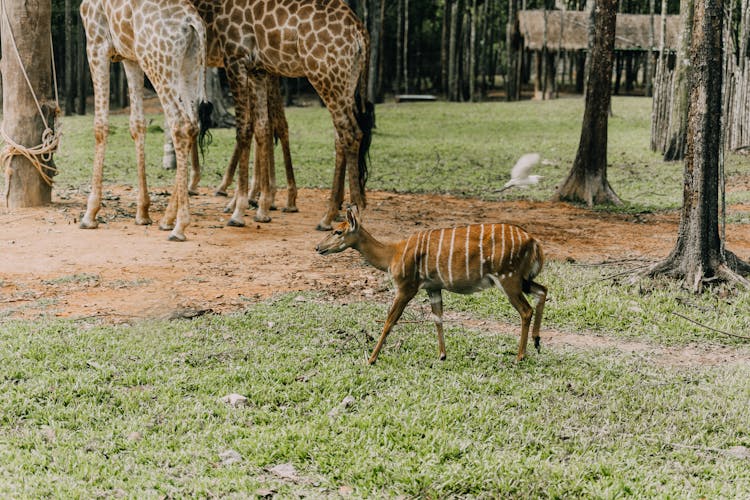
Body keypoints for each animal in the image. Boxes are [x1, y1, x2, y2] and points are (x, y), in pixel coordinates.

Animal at [78, 0, 212, 240]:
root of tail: (192, 21)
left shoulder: (96, 43)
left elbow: (100, 125)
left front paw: (90, 214)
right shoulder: (130, 57)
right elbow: (137, 124)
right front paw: (142, 213)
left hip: (157, 62)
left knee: (180, 124)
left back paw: (179, 226)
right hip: (189, 63)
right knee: (193, 124)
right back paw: (168, 219)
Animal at [191, 0, 374, 229]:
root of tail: (360, 33)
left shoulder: (236, 59)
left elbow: (244, 129)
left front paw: (239, 210)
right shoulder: (257, 69)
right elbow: (262, 127)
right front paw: (260, 207)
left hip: (325, 75)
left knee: (350, 133)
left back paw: (350, 212)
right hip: (345, 81)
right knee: (341, 135)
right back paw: (331, 215)